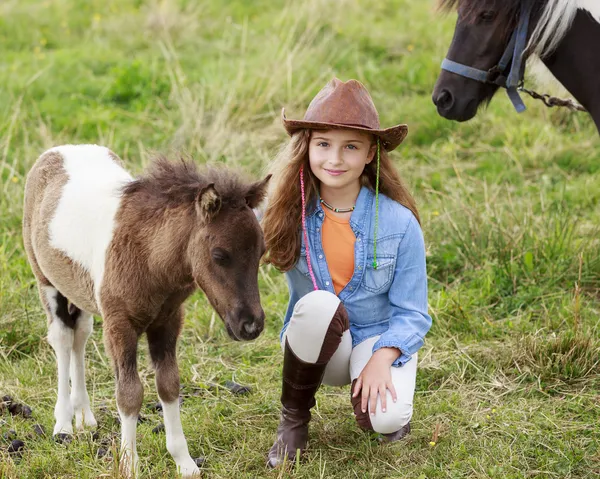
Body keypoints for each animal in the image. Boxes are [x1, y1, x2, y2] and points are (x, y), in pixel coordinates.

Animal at [21, 144, 270, 478]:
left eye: (261, 251)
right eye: (219, 255)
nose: (251, 325)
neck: (150, 258)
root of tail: (59, 150)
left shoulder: (168, 320)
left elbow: (169, 385)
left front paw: (184, 462)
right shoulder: (119, 324)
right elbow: (130, 394)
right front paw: (129, 463)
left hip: (80, 291)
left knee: (80, 336)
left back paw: (84, 416)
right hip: (47, 281)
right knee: (61, 338)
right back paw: (63, 424)